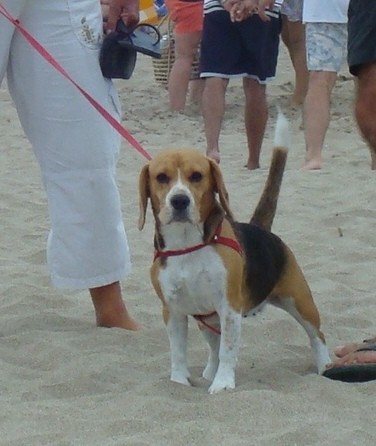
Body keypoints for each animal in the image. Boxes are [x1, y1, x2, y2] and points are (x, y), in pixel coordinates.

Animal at [138, 116, 328, 394]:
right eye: (161, 177)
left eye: (197, 176)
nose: (180, 201)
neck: (187, 244)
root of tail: (260, 229)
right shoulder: (172, 310)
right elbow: (179, 352)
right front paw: (179, 382)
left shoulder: (228, 308)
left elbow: (228, 351)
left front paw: (223, 384)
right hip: (206, 318)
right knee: (213, 347)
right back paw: (209, 372)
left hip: (300, 302)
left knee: (317, 336)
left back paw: (326, 366)